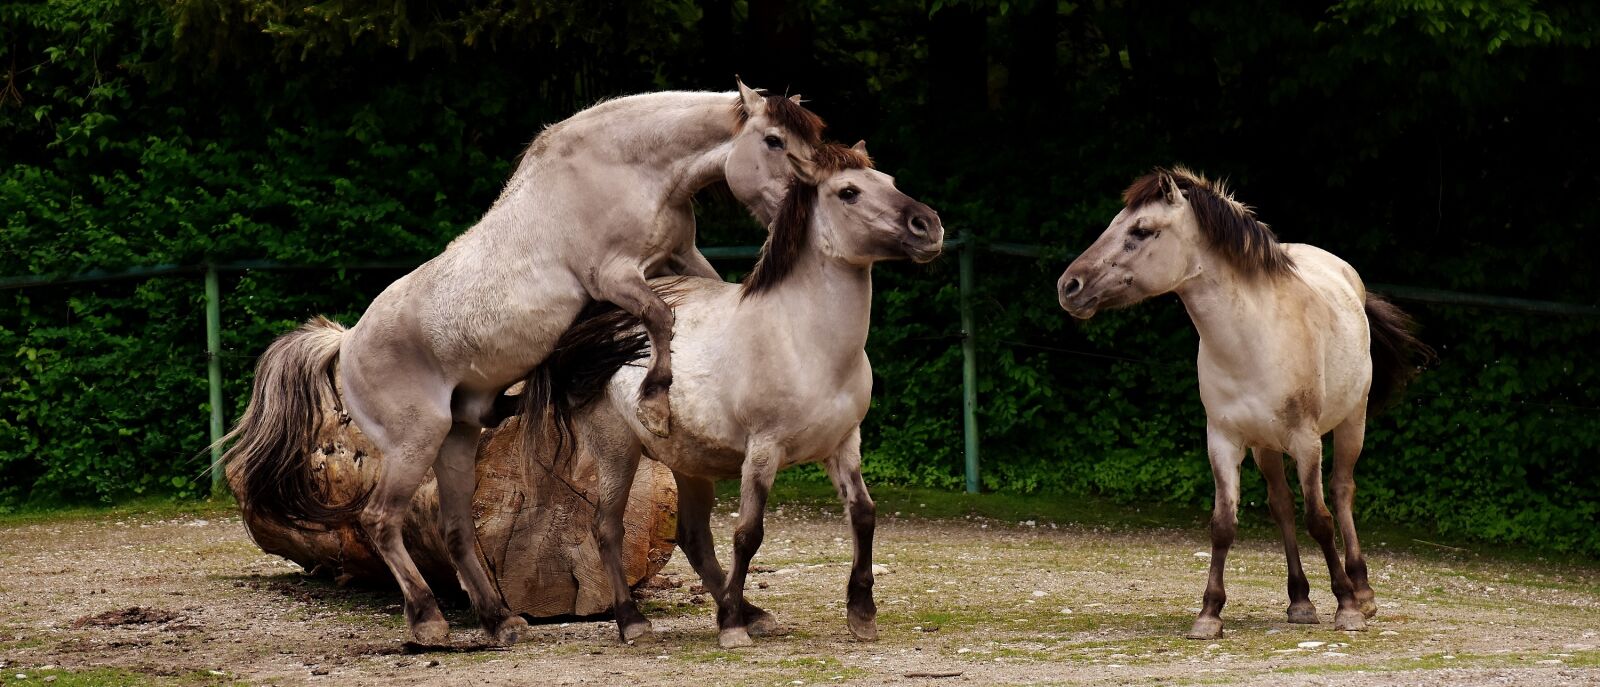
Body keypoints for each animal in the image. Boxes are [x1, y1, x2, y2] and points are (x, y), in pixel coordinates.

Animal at [222, 81, 826, 645]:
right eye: (774, 140)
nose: (802, 210)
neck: (625, 166)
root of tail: (346, 343)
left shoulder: (679, 257)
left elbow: (706, 300)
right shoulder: (616, 276)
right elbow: (661, 318)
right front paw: (656, 402)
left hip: (456, 439)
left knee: (455, 529)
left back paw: (500, 621)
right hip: (417, 440)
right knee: (380, 520)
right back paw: (429, 621)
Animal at [517, 141, 943, 648]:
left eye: (891, 182)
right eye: (849, 192)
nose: (929, 226)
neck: (805, 343)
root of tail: (600, 320)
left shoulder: (844, 444)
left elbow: (863, 514)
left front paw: (861, 614)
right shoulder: (763, 449)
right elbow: (748, 533)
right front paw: (732, 628)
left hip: (688, 461)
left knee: (694, 537)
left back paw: (749, 612)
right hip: (616, 448)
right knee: (607, 527)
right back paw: (634, 621)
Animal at [1056, 167, 1430, 639]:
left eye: (1141, 231)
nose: (1069, 286)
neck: (1252, 337)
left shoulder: (1307, 441)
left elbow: (1320, 518)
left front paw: (1346, 607)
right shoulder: (1223, 441)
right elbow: (1223, 525)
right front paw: (1209, 614)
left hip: (1352, 422)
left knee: (1341, 493)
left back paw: (1361, 593)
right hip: (1265, 447)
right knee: (1282, 506)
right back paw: (1300, 601)